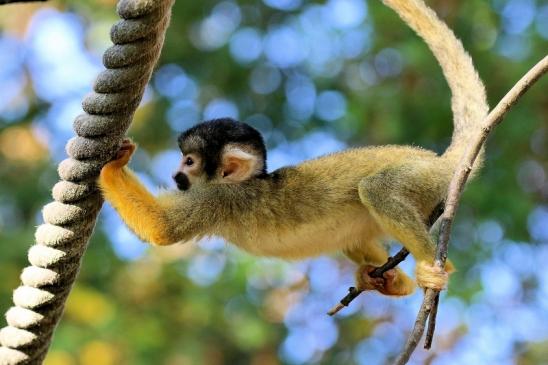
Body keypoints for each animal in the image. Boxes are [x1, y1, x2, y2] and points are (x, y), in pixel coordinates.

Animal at [98, 0, 488, 294]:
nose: (176, 173)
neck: (244, 182)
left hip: (424, 176)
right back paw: (389, 280)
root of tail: (444, 160)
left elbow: (162, 228)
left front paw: (114, 165)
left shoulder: (220, 200)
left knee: (377, 189)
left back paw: (432, 267)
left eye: (190, 162)